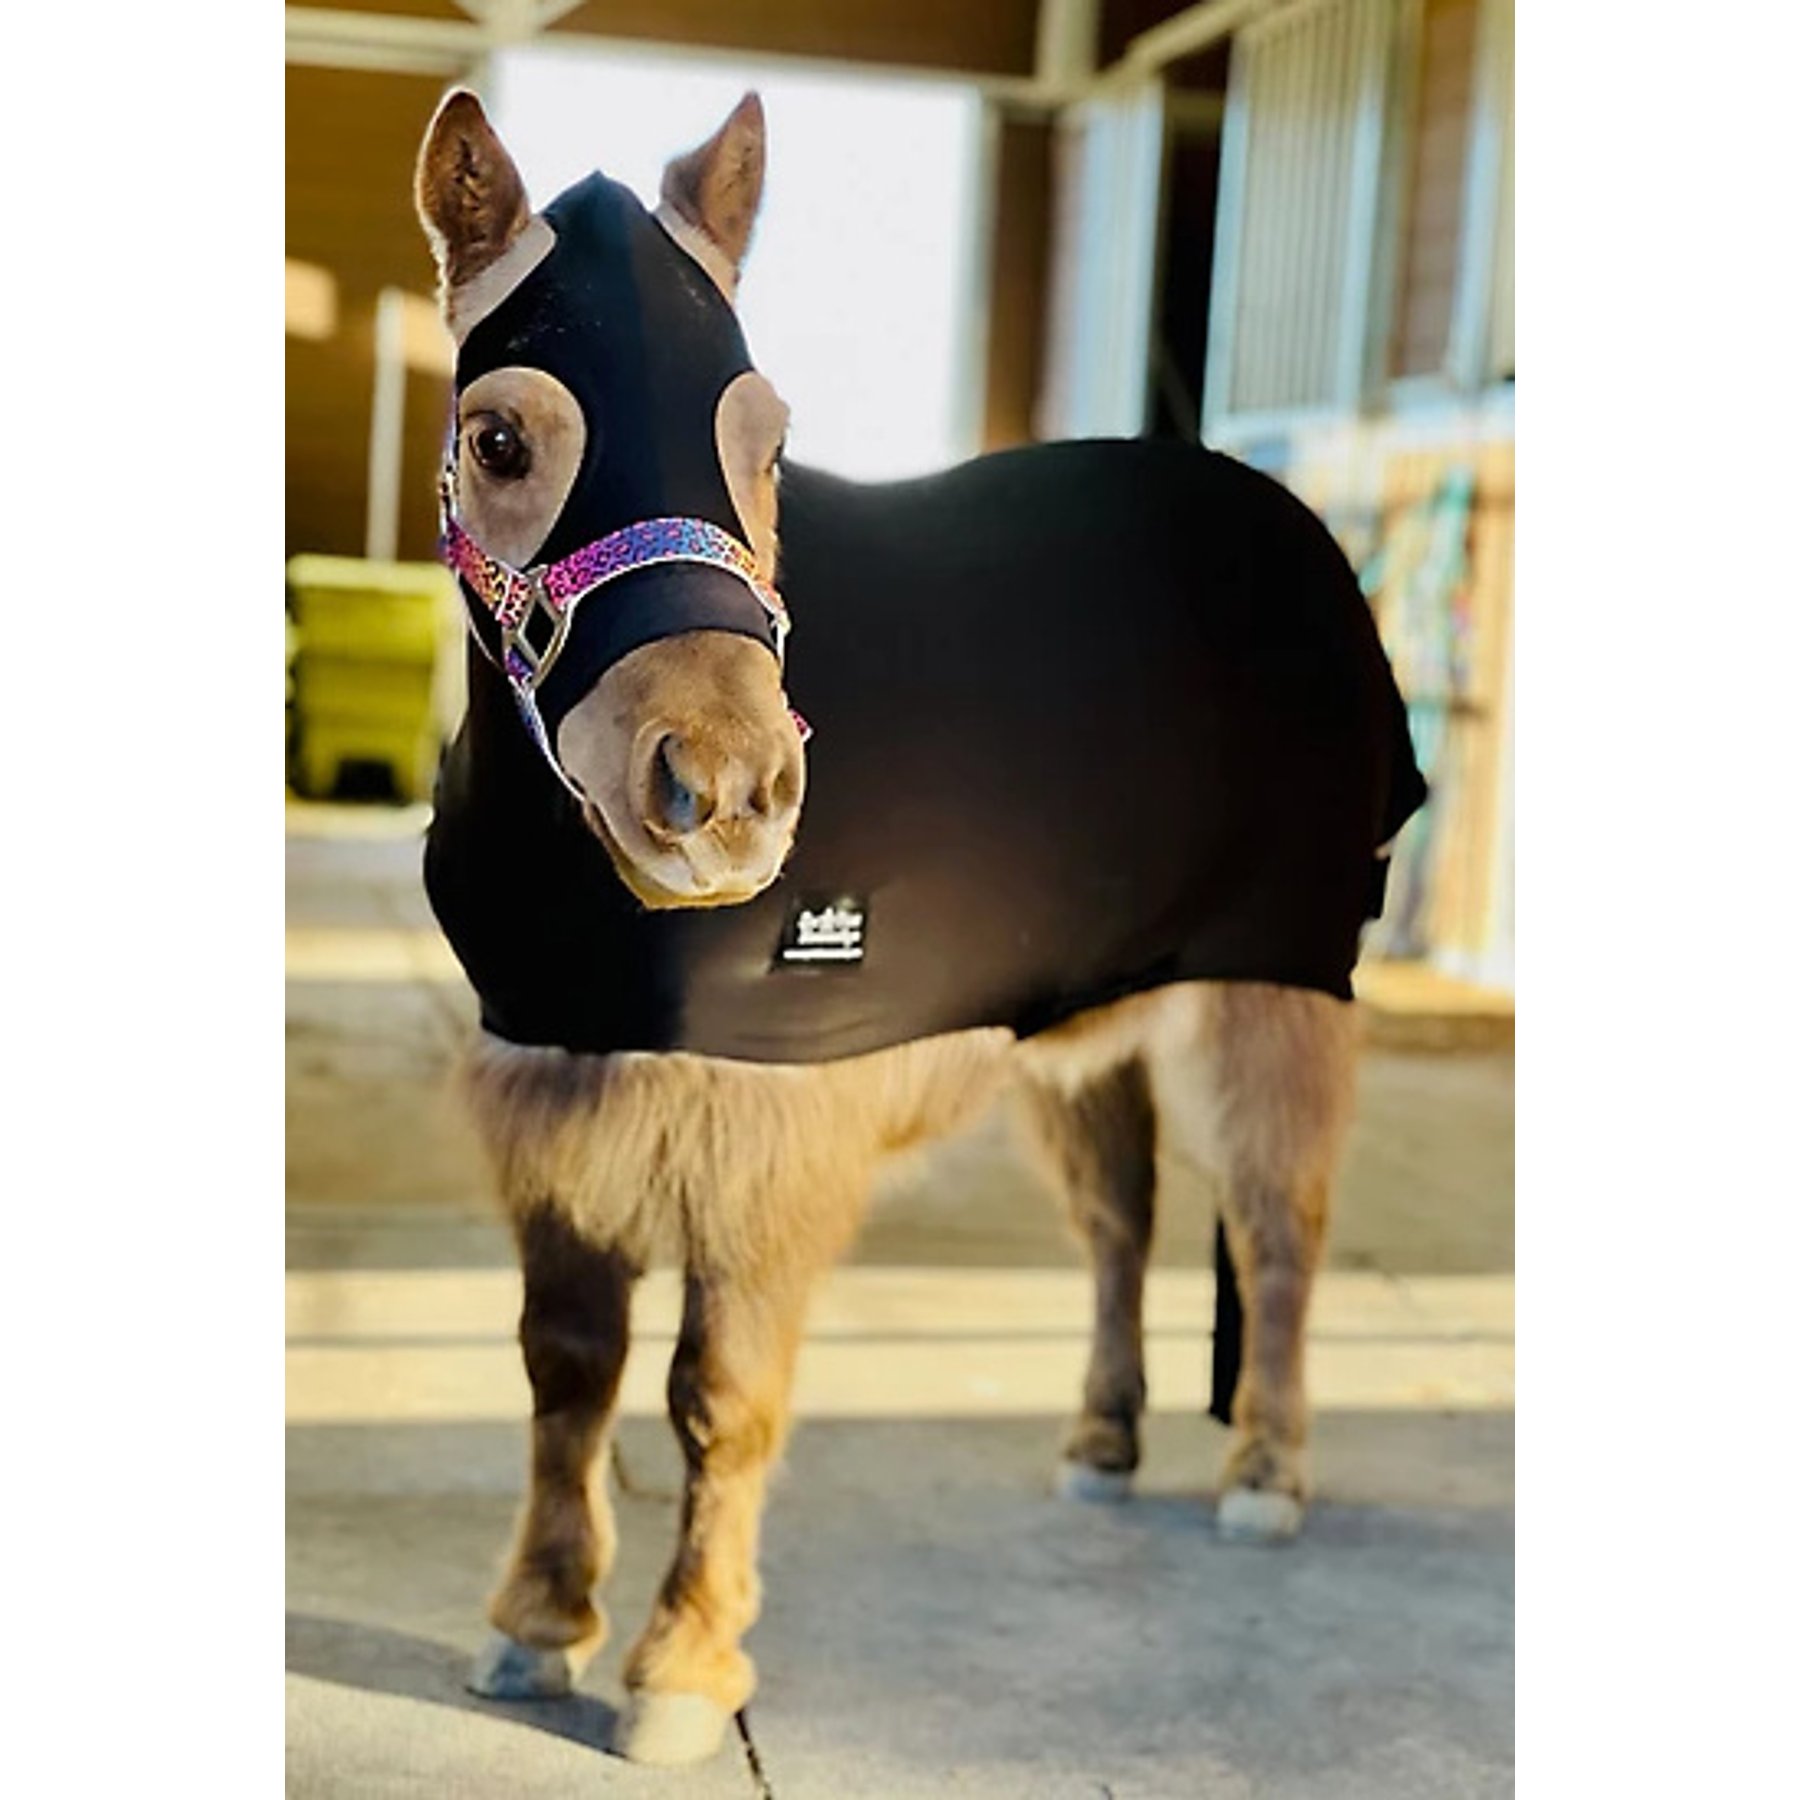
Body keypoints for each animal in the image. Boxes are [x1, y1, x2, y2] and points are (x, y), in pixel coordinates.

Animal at [413, 89, 1426, 1767]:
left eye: (769, 441)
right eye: (501, 439)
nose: (725, 790)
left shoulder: (764, 1125)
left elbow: (716, 1394)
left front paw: (685, 1671)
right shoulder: (563, 1083)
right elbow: (565, 1371)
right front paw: (538, 1626)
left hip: (1274, 985)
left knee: (1279, 1227)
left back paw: (1264, 1477)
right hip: (1095, 1015)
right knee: (1121, 1217)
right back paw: (1101, 1440)